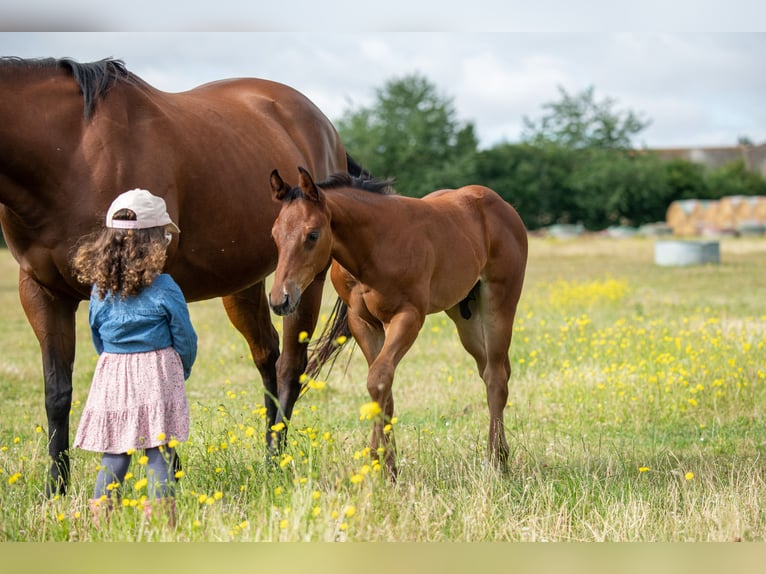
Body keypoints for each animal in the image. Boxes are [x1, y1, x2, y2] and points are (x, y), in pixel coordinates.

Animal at [0, 59, 354, 500]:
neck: (71, 152)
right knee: (266, 354)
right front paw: (56, 490)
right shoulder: (41, 293)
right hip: (247, 284)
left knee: (291, 364)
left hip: (306, 282)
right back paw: (267, 454)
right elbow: (57, 392)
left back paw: (276, 459)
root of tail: (326, 128)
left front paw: (169, 472)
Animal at [268, 168, 528, 482]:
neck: (373, 246)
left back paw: (497, 461)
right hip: (464, 315)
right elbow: (383, 387)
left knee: (496, 377)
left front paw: (375, 460)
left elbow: (378, 379)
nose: (280, 299)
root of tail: (503, 206)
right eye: (274, 234)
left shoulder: (408, 316)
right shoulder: (362, 321)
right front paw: (388, 466)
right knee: (490, 369)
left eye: (312, 235)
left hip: (498, 305)